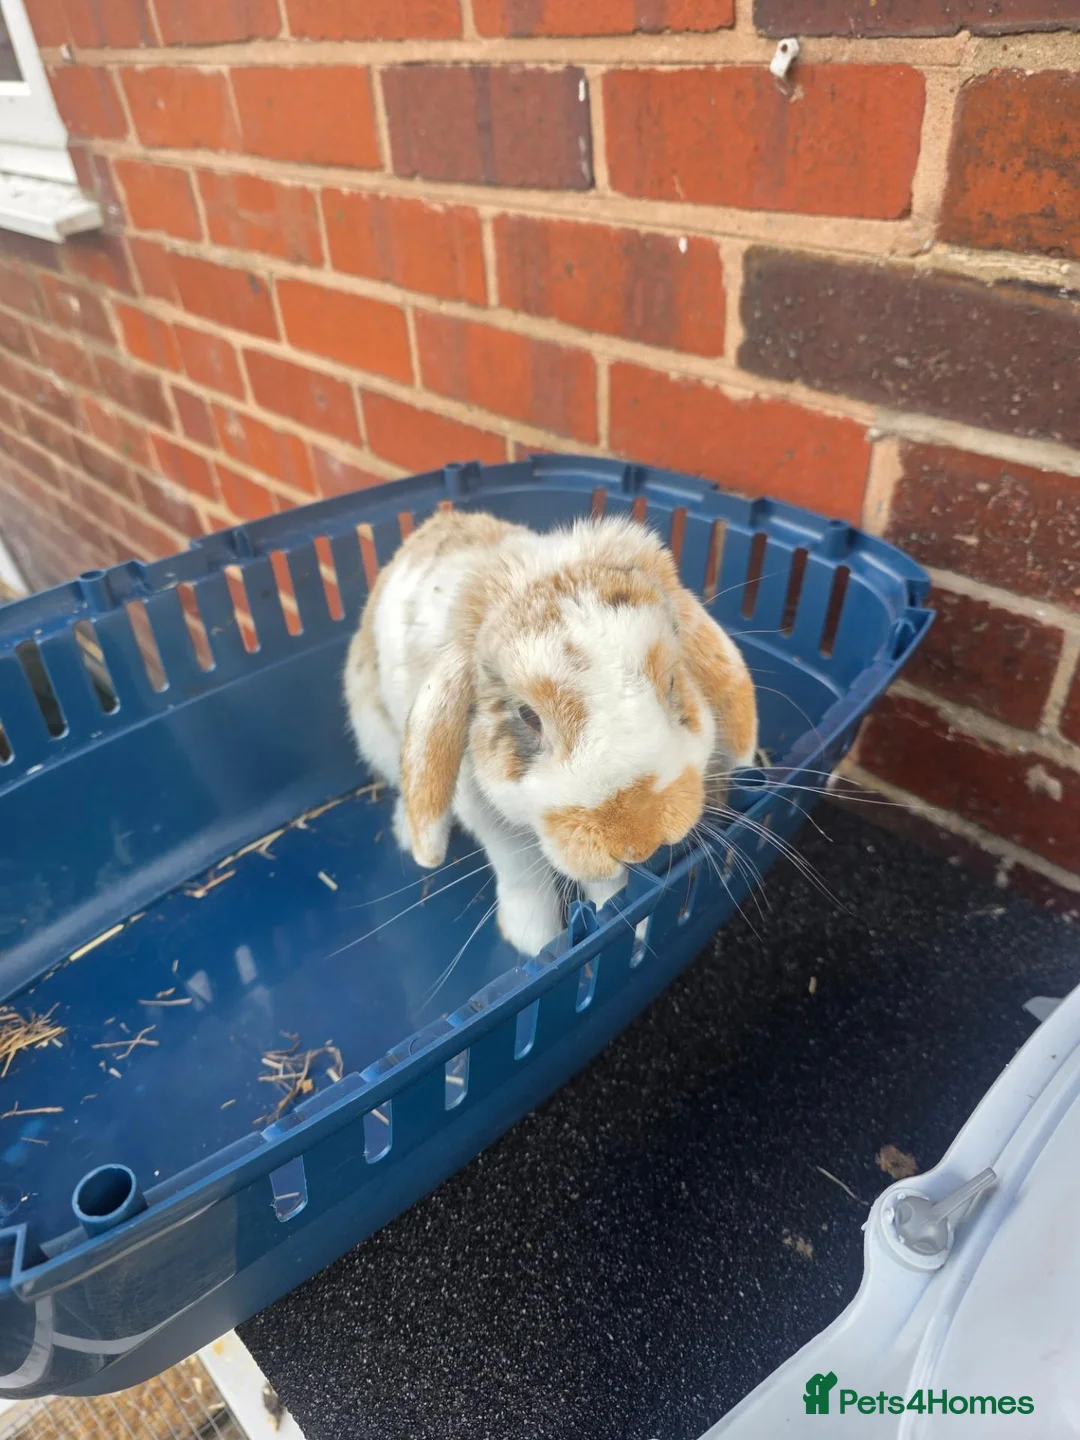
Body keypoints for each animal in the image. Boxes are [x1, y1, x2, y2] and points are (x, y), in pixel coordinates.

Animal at [344, 508, 758, 958]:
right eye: (528, 716)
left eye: (671, 681)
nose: (639, 838)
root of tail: (438, 518)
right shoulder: (494, 823)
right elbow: (524, 877)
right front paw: (533, 943)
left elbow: (613, 891)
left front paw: (632, 935)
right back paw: (406, 833)